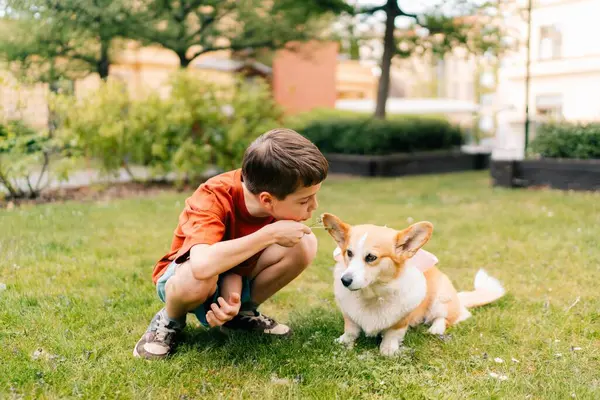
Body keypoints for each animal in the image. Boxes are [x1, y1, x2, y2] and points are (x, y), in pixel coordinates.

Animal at [322, 212, 504, 356]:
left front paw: (388, 349)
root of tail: (458, 299)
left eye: (371, 257)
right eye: (349, 253)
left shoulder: (402, 319)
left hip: (440, 300)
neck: (373, 293)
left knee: (447, 317)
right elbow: (351, 330)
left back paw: (435, 328)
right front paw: (343, 341)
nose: (345, 281)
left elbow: (392, 334)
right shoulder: (349, 315)